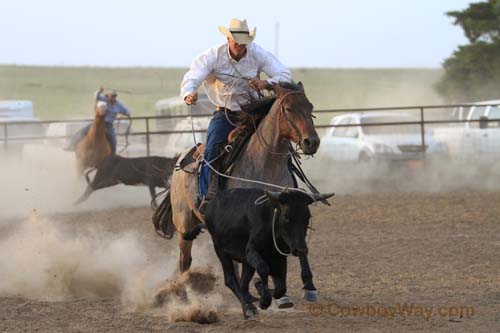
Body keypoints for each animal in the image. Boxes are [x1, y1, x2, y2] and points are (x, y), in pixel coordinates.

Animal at [170, 81, 322, 300]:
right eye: (288, 108)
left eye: (310, 107)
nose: (312, 142)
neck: (265, 165)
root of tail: (183, 157)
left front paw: (308, 286)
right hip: (184, 224)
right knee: (185, 261)